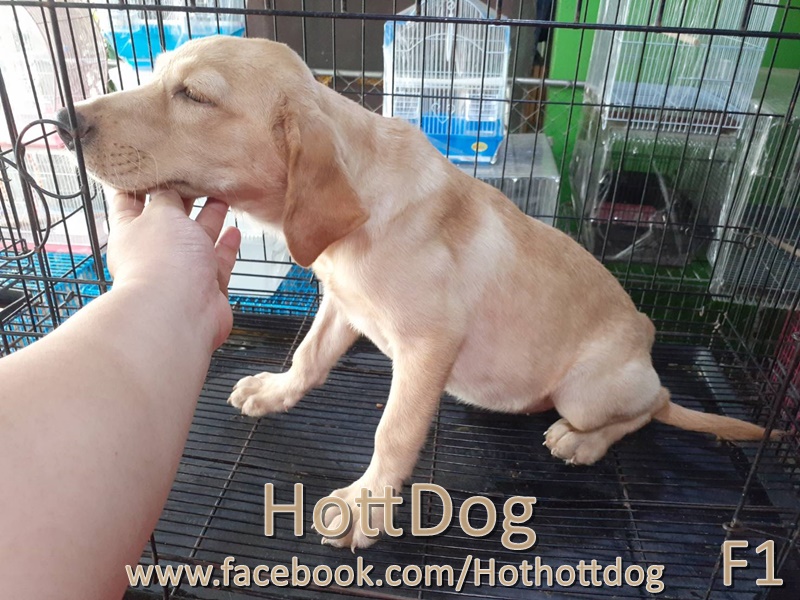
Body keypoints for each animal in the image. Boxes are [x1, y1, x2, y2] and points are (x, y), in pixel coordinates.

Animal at [58, 35, 776, 550]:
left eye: (194, 97)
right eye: (156, 74)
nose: (65, 121)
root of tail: (647, 356)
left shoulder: (429, 345)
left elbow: (395, 431)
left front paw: (364, 505)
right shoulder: (342, 304)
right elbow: (308, 358)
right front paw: (276, 391)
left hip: (592, 387)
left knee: (648, 409)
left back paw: (584, 440)